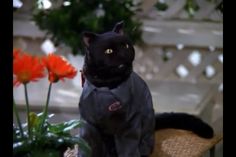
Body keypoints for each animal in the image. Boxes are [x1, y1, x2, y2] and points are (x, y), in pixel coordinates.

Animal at [78, 21, 214, 157]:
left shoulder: (129, 124)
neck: (108, 87)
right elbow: (91, 146)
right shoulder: (89, 125)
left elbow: (128, 149)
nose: (123, 53)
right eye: (109, 51)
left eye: (126, 45)